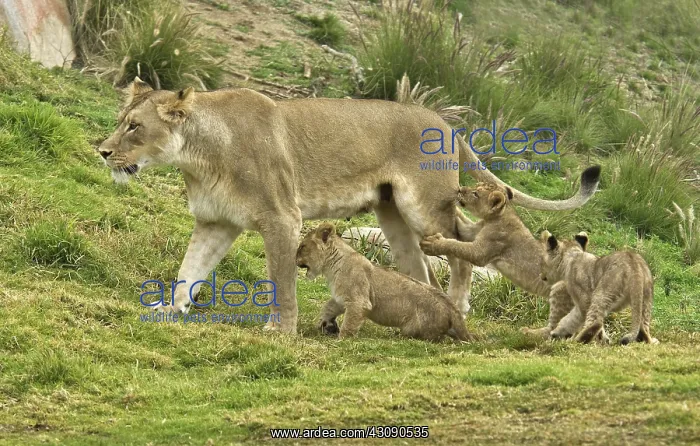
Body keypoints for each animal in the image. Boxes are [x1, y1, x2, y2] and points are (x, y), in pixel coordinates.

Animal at [296, 222, 474, 341]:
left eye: (302, 246)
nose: (295, 260)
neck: (331, 266)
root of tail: (452, 308)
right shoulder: (342, 298)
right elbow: (328, 307)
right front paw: (324, 323)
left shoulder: (359, 301)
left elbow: (349, 323)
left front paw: (341, 340)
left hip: (417, 327)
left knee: (437, 337)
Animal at [418, 182, 579, 338]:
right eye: (475, 186)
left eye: (475, 193)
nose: (460, 189)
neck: (498, 216)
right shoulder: (473, 231)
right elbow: (462, 225)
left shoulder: (481, 251)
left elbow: (456, 245)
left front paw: (433, 243)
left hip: (560, 293)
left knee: (556, 327)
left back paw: (530, 333)